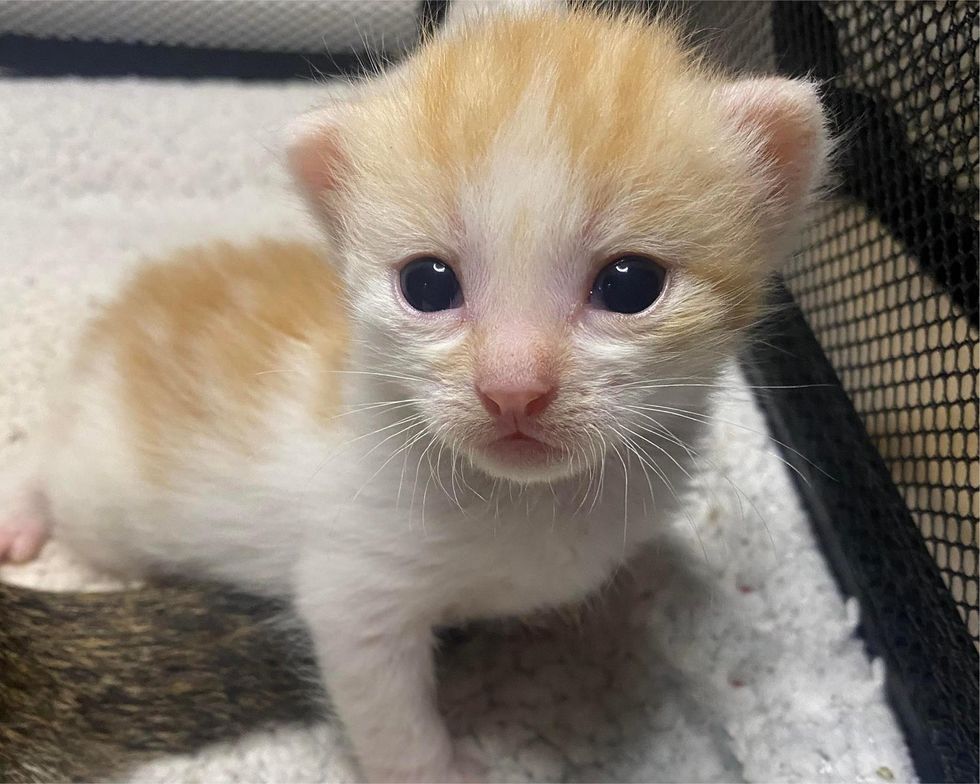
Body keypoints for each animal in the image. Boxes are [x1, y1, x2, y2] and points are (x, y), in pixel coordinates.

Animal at [0, 3, 828, 780]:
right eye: (428, 284)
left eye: (631, 284)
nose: (513, 389)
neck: (528, 505)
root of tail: (122, 312)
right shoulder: (353, 592)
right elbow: (387, 709)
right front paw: (439, 770)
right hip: (102, 493)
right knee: (45, 454)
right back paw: (21, 513)